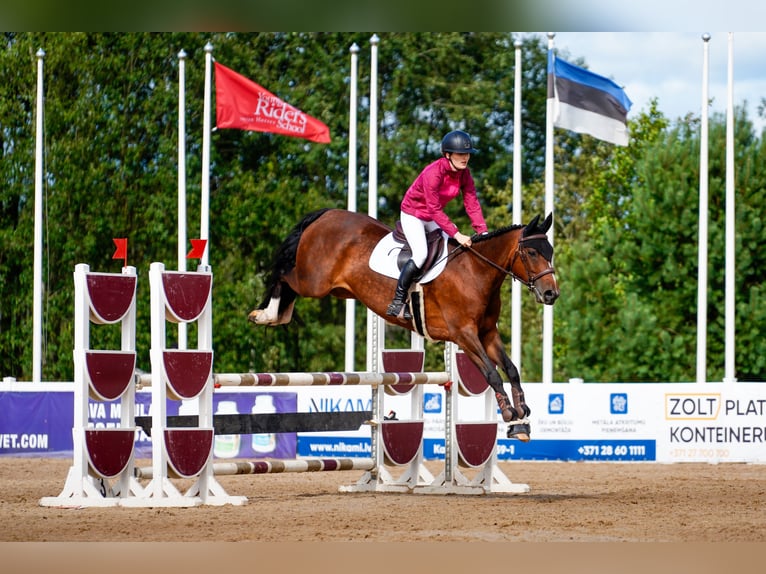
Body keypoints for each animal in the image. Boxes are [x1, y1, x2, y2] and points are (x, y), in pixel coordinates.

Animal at [249, 208, 559, 440]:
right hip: (313, 281)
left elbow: (511, 369)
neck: (476, 270)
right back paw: (267, 314)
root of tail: (327, 214)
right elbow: (492, 374)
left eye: (551, 251)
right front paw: (509, 414)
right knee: (284, 275)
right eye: (532, 253)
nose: (551, 294)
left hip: (338, 289)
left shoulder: (487, 332)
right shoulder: (465, 335)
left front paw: (521, 418)